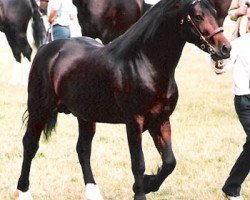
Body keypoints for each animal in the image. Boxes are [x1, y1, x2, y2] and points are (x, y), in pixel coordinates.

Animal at [15, 0, 230, 200]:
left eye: (215, 12)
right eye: (198, 16)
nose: (225, 48)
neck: (145, 63)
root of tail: (47, 49)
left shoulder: (160, 120)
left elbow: (170, 162)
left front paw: (148, 184)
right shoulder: (134, 122)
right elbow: (138, 163)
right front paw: (140, 192)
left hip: (85, 117)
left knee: (83, 149)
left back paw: (93, 192)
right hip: (39, 109)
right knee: (30, 145)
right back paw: (24, 191)